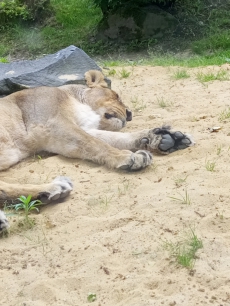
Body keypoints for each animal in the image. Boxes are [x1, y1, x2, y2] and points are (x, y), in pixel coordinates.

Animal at [0, 70, 194, 231]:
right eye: (116, 96)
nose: (130, 114)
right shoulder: (52, 125)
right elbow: (95, 143)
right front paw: (128, 157)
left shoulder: (77, 129)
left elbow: (115, 138)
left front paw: (166, 138)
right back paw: (54, 187)